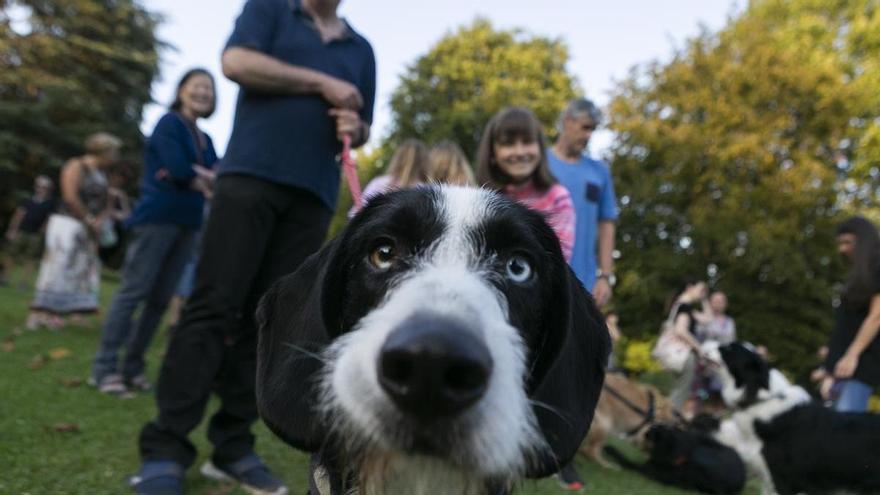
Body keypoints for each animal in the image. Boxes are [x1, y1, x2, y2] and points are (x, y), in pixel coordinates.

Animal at [604, 422, 744, 495]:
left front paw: (610, 449)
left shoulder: (646, 469)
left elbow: (625, 461)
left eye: (649, 434)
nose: (647, 431)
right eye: (653, 427)